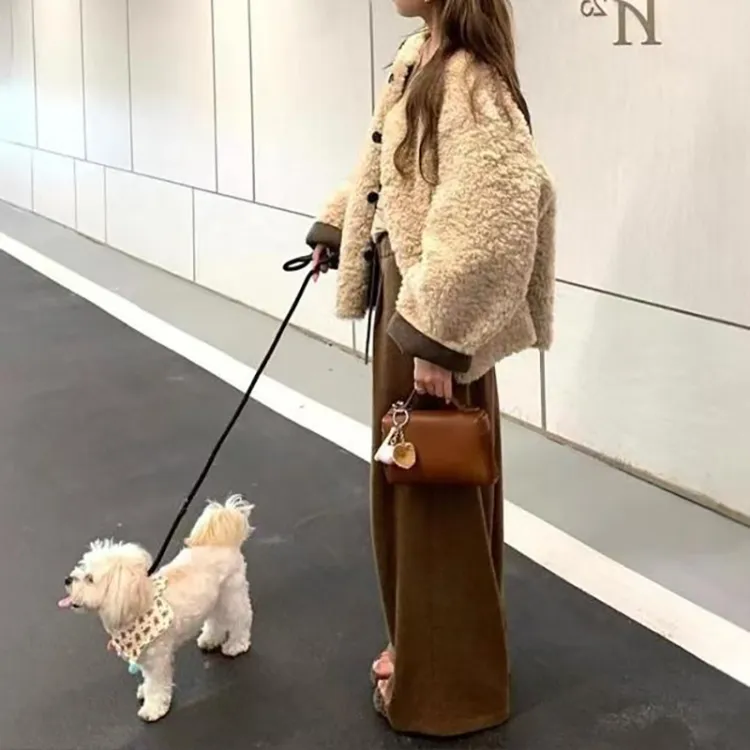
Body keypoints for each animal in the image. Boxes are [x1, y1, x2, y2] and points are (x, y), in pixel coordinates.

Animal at [58, 494, 254, 722]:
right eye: (81, 568)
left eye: (89, 579)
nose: (67, 579)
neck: (137, 605)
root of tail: (224, 541)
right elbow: (147, 681)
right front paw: (144, 690)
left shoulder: (156, 659)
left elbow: (156, 685)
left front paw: (152, 708)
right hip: (215, 597)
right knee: (215, 619)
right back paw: (210, 639)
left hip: (232, 594)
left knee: (240, 618)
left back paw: (236, 645)